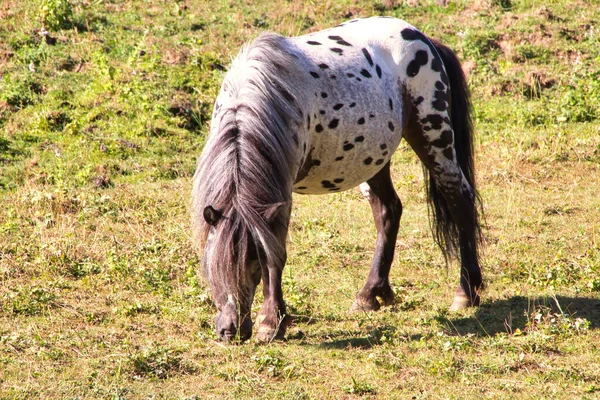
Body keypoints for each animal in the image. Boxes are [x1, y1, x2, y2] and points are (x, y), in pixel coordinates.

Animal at [192, 17, 482, 342]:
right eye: (212, 266)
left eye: (253, 265)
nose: (230, 330)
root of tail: (425, 40)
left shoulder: (281, 194)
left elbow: (276, 254)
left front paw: (271, 322)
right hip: (373, 158)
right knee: (388, 211)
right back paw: (370, 294)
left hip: (434, 137)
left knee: (460, 199)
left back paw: (466, 292)